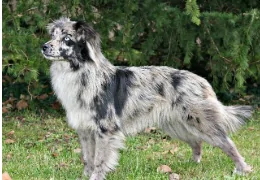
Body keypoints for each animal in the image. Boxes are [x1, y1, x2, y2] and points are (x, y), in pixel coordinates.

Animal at [41, 16, 253, 179]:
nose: (43, 47)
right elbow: (88, 158)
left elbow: (99, 160)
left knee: (227, 143)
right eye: (53, 36)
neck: (80, 73)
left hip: (202, 122)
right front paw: (86, 175)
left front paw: (96, 176)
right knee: (196, 142)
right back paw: (192, 164)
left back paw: (242, 169)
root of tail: (203, 81)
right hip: (177, 125)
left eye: (67, 38)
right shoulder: (85, 129)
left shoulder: (105, 129)